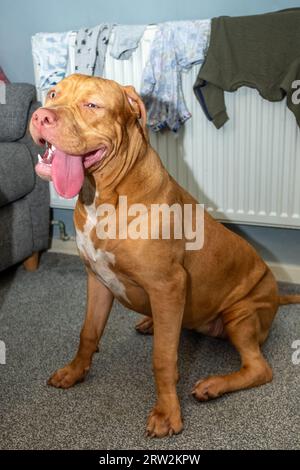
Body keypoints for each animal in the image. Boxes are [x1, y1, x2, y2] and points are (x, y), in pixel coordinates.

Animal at [29, 73, 300, 436]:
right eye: (53, 94)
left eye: (92, 105)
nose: (41, 116)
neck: (106, 196)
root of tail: (275, 296)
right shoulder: (97, 280)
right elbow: (88, 333)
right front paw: (74, 372)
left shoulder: (168, 285)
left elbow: (162, 357)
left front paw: (167, 413)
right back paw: (150, 323)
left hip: (241, 313)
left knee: (259, 368)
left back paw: (214, 384)